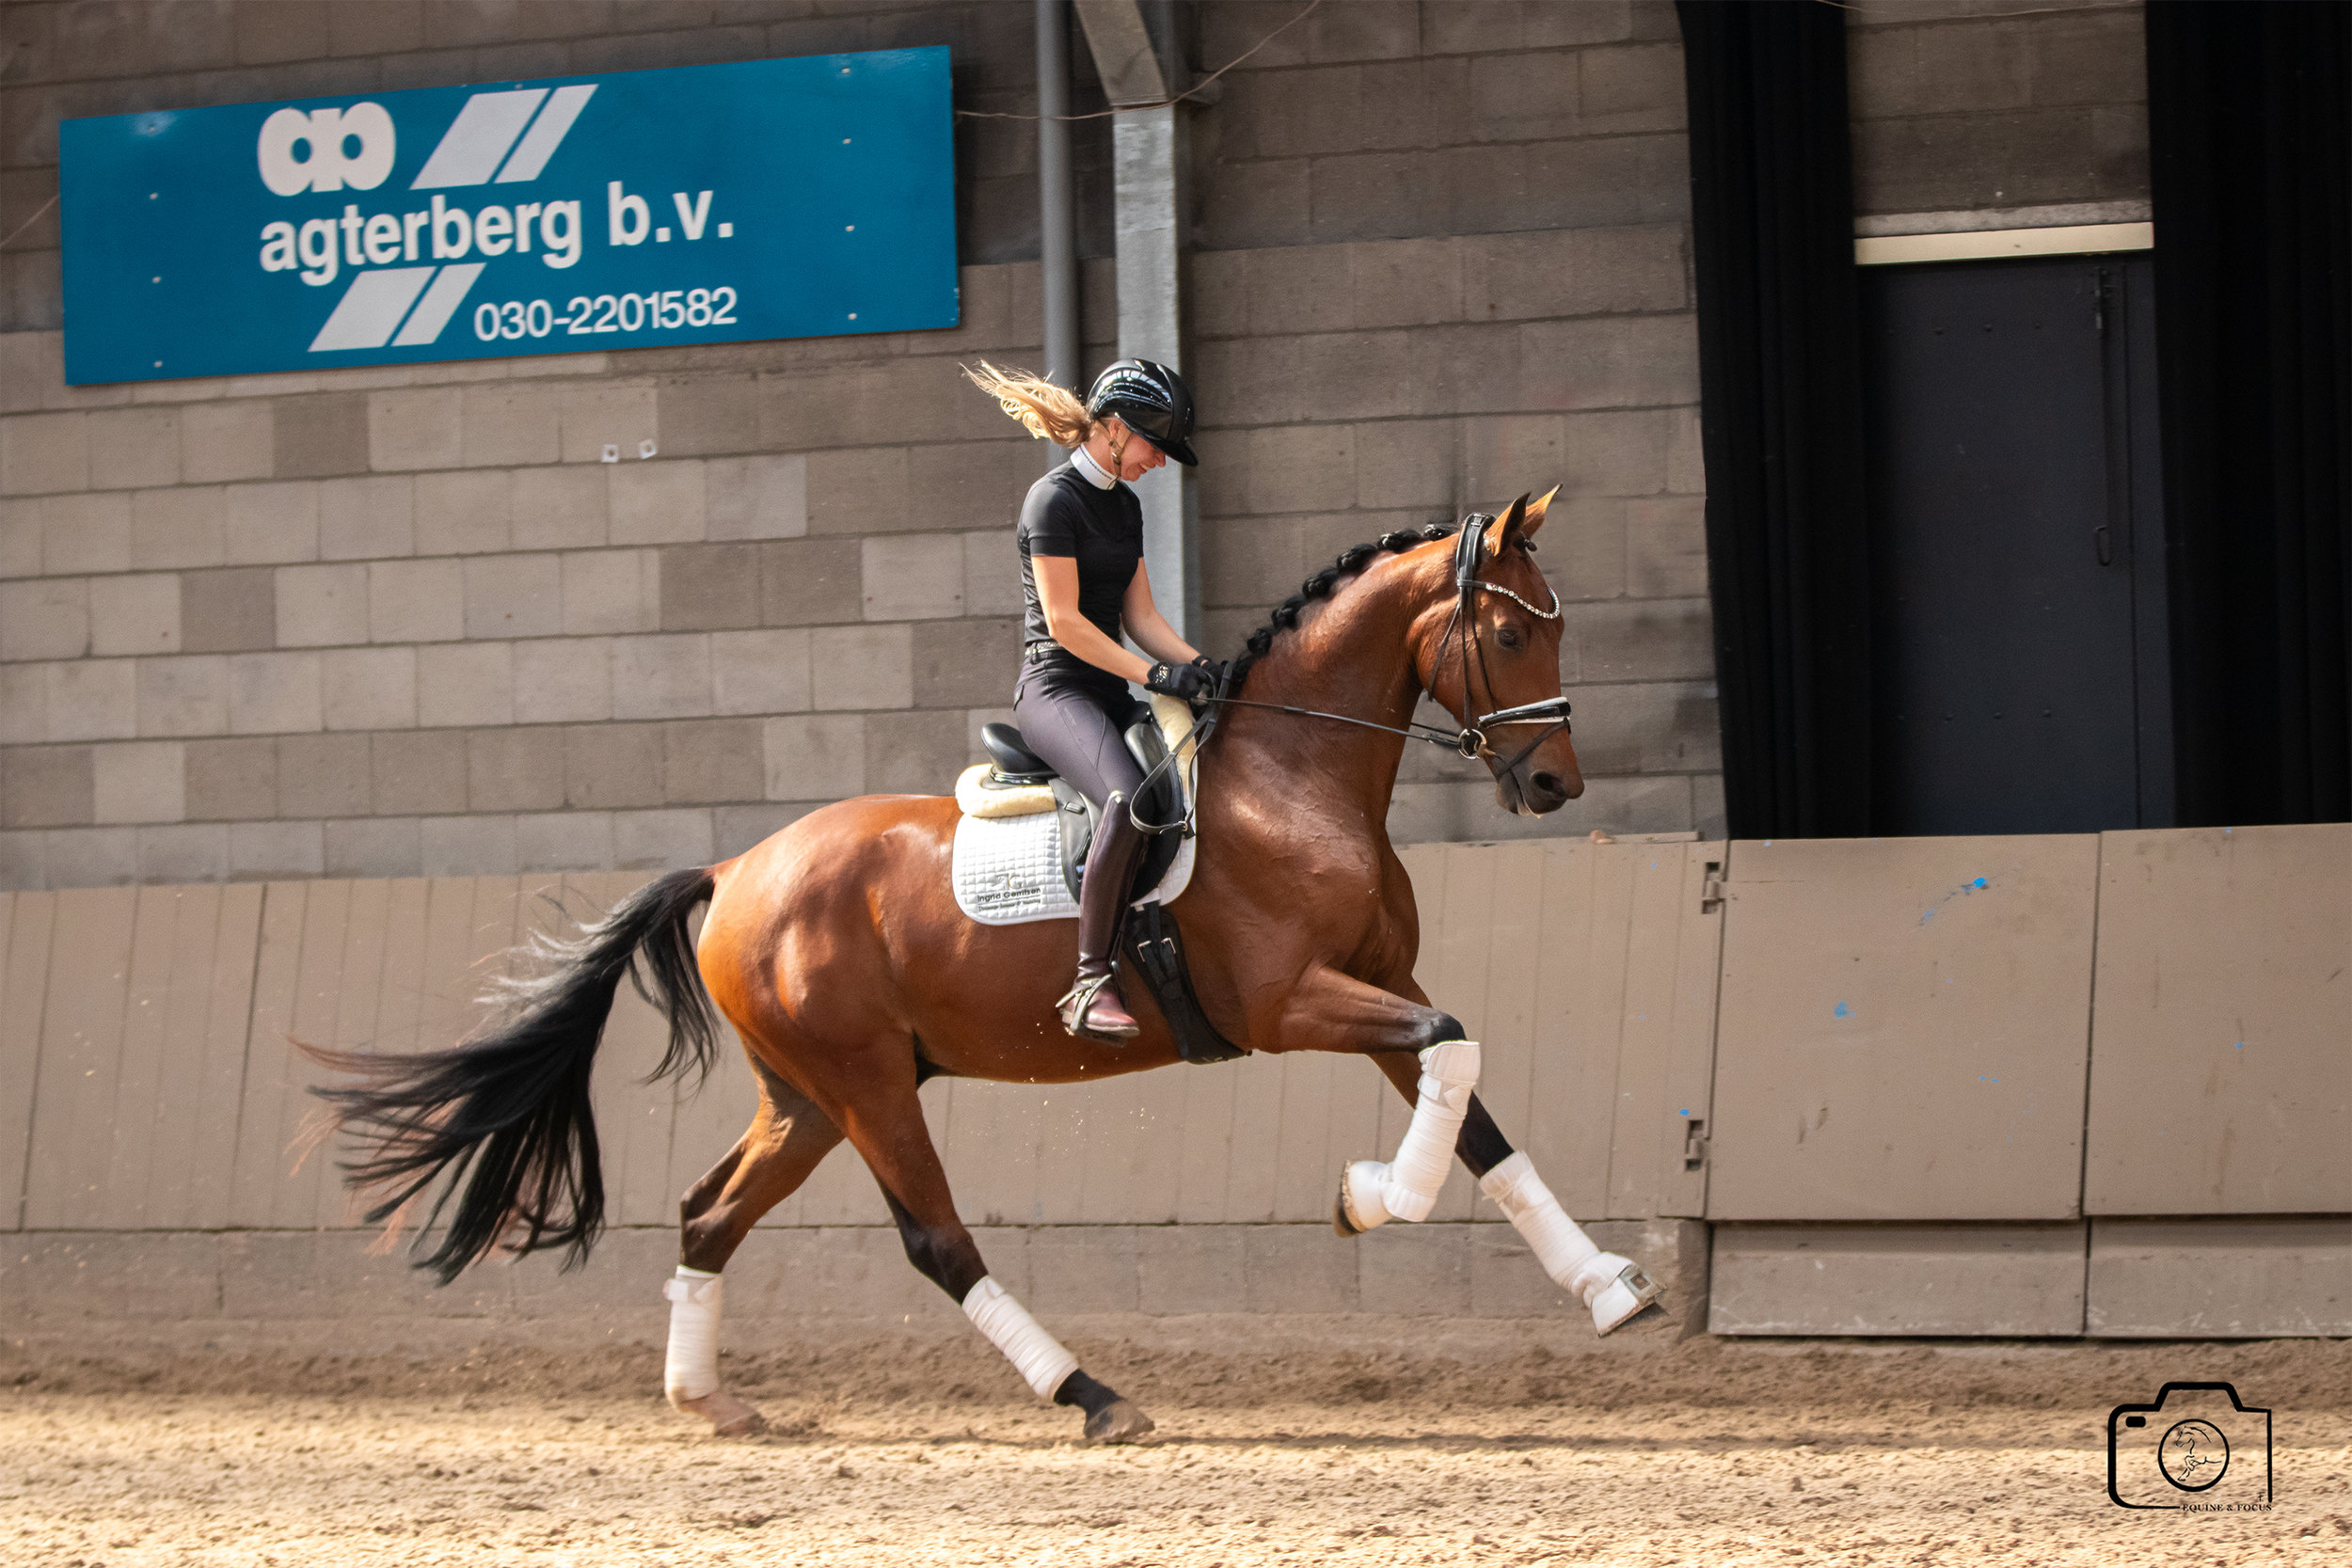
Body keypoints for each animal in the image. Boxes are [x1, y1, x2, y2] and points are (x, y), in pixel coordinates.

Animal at [312, 488, 1663, 1444]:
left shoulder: (1379, 993)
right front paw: (1366, 1196)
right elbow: (1449, 1058)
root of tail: (735, 871)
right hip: (867, 1087)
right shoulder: (1289, 1004)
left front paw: (1607, 1289)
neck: (1295, 778)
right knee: (937, 1241)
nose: (1555, 784)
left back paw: (710, 1400)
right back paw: (1092, 1393)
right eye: (1507, 630)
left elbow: (1472, 1102)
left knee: (709, 1210)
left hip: (808, 1095)